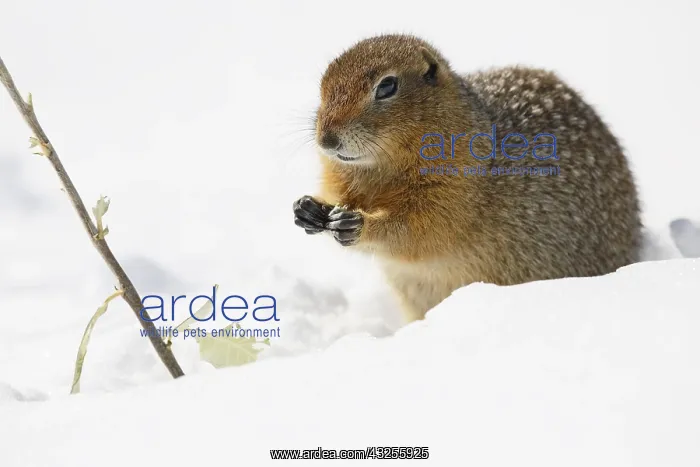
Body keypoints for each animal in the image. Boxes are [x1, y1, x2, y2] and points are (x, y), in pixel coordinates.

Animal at [293, 34, 643, 322]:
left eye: (387, 86)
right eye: (324, 83)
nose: (326, 140)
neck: (379, 170)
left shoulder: (453, 194)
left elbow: (416, 231)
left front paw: (357, 224)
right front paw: (307, 208)